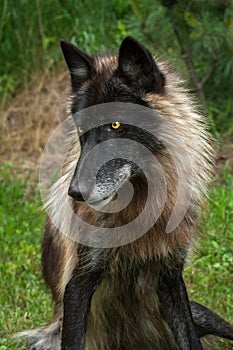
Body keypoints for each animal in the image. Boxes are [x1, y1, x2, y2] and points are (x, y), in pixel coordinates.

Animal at [20, 36, 233, 350]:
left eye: (116, 124)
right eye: (81, 129)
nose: (75, 193)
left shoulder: (170, 276)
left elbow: (190, 340)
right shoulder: (79, 281)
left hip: (202, 314)